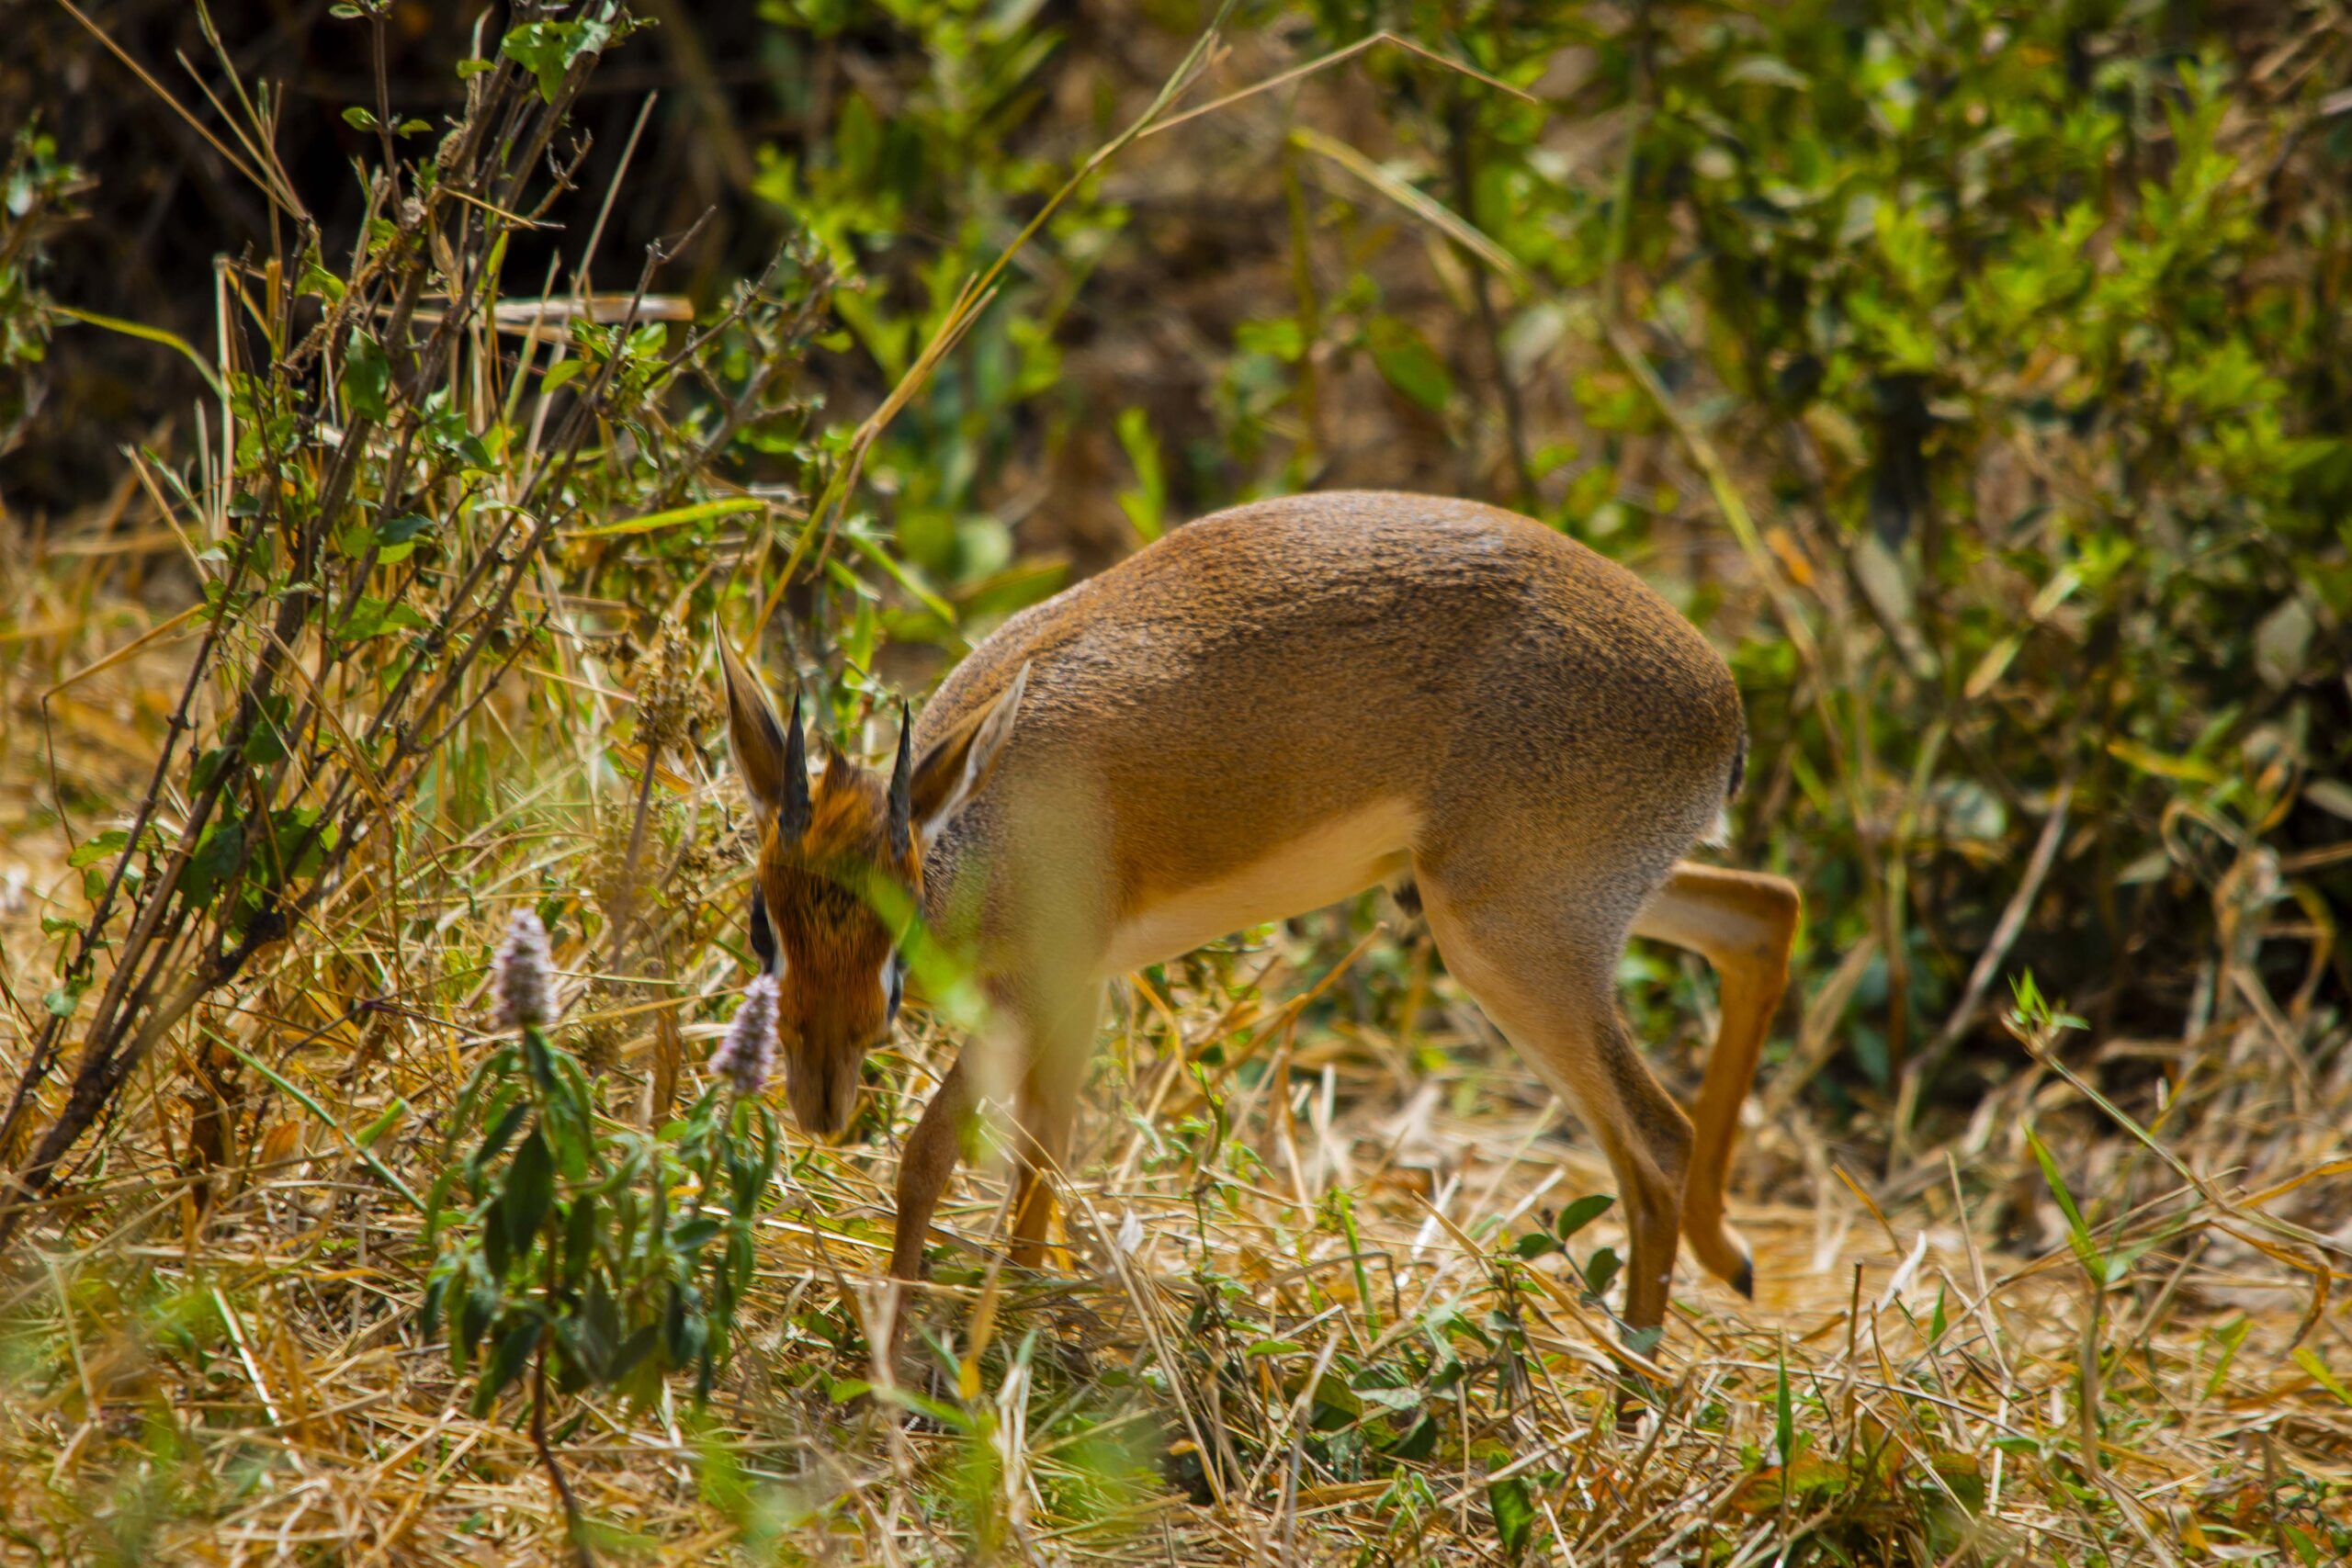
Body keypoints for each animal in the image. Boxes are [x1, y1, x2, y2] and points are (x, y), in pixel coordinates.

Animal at [715, 493, 1796, 1335]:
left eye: (895, 925)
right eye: (764, 919)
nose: (819, 1099)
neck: (992, 812)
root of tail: (1724, 711)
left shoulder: (1030, 990)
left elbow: (931, 1153)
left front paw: (896, 1351)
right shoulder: (1081, 991)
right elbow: (1041, 1150)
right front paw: (1021, 1300)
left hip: (1505, 944)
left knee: (1657, 1142)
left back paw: (1636, 1401)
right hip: (1553, 903)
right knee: (1763, 909)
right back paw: (1729, 1258)